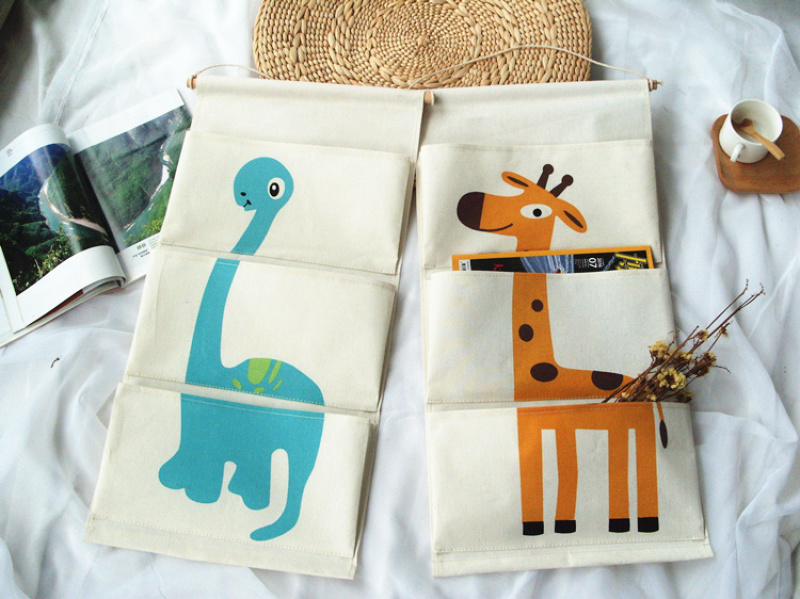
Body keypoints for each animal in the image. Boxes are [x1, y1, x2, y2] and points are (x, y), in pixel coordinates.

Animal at [457, 165, 663, 536]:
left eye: (536, 210)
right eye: (518, 189)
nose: (467, 203)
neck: (544, 369)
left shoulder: (560, 424)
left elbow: (570, 470)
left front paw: (563, 523)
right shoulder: (533, 425)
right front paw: (538, 526)